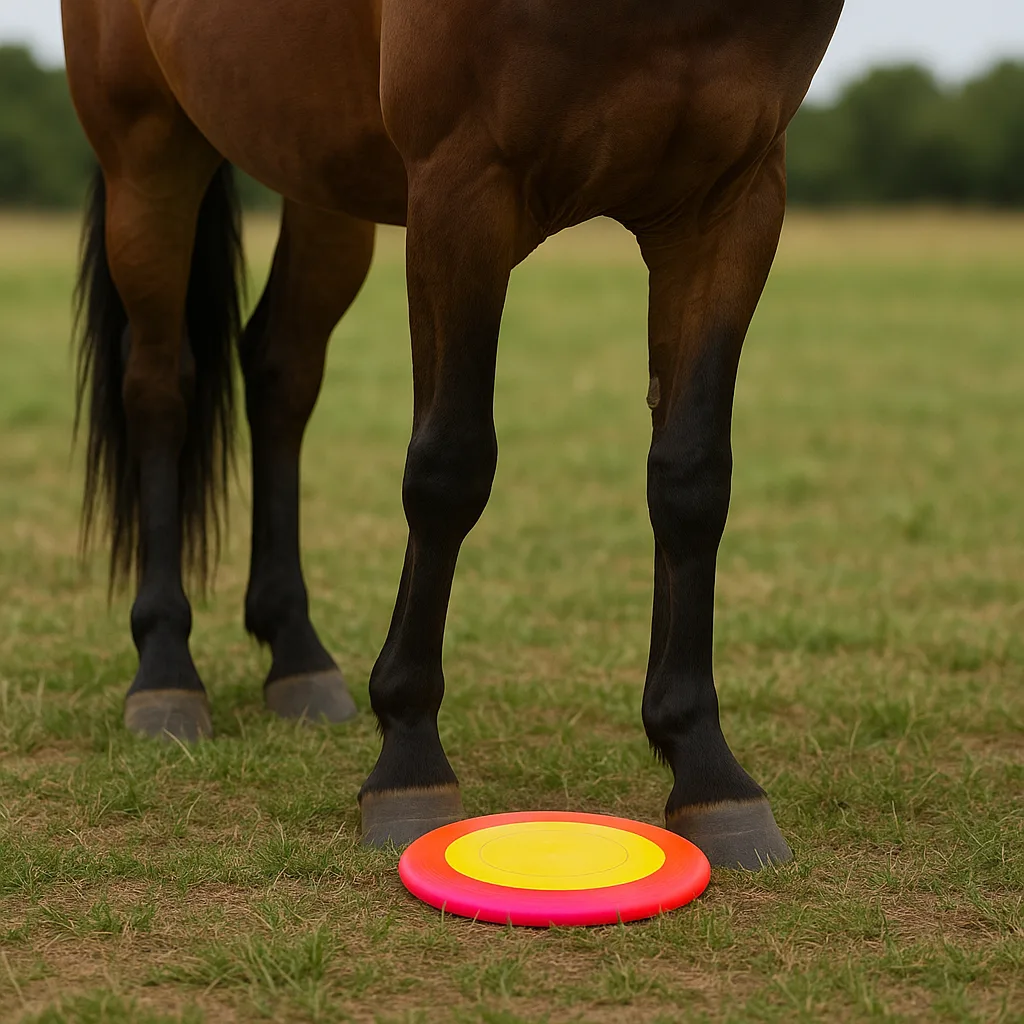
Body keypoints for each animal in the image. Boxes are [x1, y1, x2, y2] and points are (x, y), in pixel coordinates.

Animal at [61, 0, 844, 869]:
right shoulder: (461, 185)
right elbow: (448, 468)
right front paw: (409, 763)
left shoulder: (730, 207)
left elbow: (691, 479)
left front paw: (708, 769)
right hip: (149, 153)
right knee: (159, 388)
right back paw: (165, 671)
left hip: (322, 175)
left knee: (280, 372)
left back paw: (297, 655)